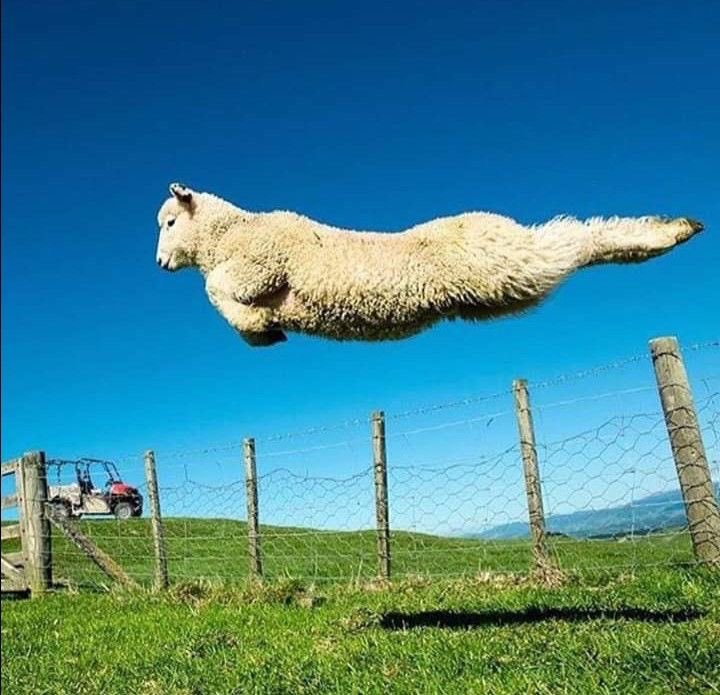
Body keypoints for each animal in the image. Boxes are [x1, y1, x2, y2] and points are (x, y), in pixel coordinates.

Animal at [155, 183, 703, 347]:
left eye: (169, 222)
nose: (160, 263)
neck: (229, 234)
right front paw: (263, 330)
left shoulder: (261, 264)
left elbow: (216, 290)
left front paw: (257, 326)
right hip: (499, 288)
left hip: (500, 258)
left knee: (573, 239)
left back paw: (665, 230)